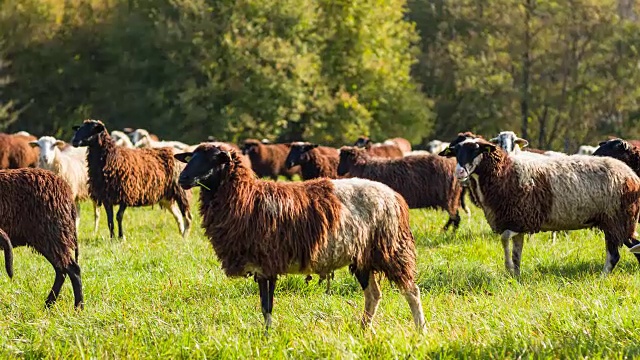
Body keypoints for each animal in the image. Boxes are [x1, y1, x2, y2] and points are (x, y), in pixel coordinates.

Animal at [0, 168, 84, 306]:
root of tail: (66, 190)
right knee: (62, 270)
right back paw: (48, 305)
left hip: (51, 236)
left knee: (72, 269)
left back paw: (78, 307)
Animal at [175, 143, 424, 332]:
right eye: (191, 157)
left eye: (213, 160)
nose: (182, 178)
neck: (247, 197)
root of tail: (394, 196)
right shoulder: (262, 266)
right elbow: (265, 306)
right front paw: (267, 334)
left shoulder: (266, 263)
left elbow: (267, 305)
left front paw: (267, 336)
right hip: (363, 257)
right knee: (373, 294)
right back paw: (363, 329)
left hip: (392, 249)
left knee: (411, 291)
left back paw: (420, 330)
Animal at [336, 146, 464, 231]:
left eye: (343, 158)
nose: (338, 172)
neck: (363, 166)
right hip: (452, 197)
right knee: (454, 217)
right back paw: (447, 230)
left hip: (448, 196)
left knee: (455, 217)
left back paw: (449, 232)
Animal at [442, 138, 640, 276]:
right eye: (456, 152)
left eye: (476, 150)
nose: (459, 172)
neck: (505, 172)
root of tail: (632, 176)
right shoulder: (517, 223)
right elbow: (516, 252)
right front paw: (515, 275)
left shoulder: (521, 219)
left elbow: (504, 240)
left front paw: (508, 268)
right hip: (619, 222)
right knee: (634, 247)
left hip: (617, 220)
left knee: (614, 255)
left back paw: (601, 277)